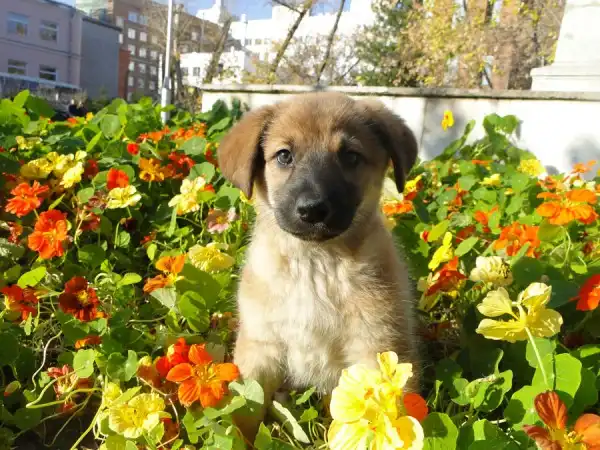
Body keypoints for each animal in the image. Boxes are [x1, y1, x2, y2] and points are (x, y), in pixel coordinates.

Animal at [216, 91, 422, 444]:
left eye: (351, 156)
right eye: (284, 156)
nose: (312, 210)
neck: (315, 267)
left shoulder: (376, 348)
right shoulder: (259, 349)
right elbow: (244, 410)